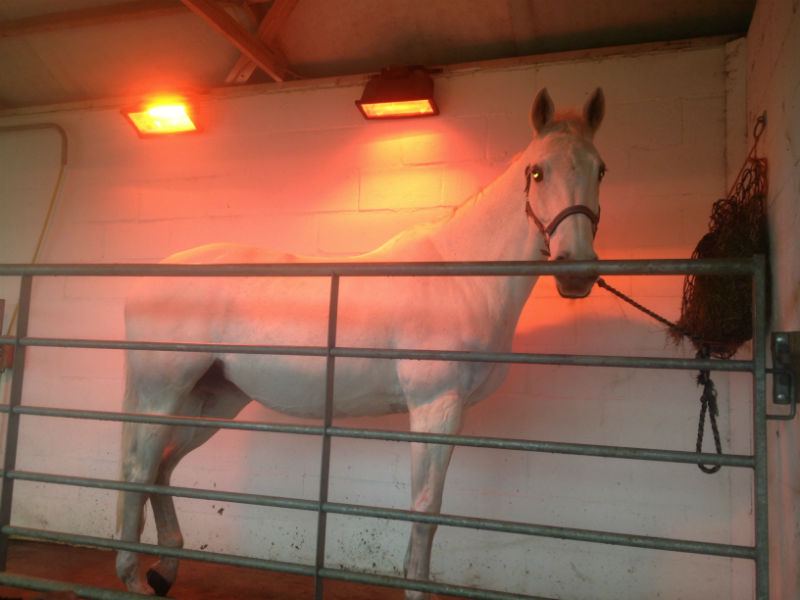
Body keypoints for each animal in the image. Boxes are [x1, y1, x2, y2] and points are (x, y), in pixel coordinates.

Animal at [115, 87, 606, 599]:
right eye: (538, 171)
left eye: (600, 170)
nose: (577, 272)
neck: (461, 278)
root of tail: (147, 278)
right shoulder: (435, 409)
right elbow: (426, 514)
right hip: (161, 393)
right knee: (137, 470)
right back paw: (132, 577)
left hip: (213, 400)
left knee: (161, 467)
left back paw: (164, 569)